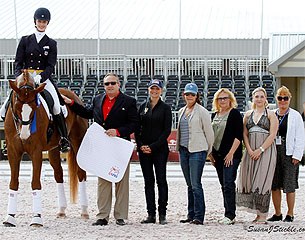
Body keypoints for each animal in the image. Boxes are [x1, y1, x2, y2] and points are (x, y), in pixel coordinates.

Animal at [3, 70, 88, 227]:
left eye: (34, 107)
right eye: (16, 106)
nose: (24, 135)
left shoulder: (36, 151)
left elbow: (35, 183)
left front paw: (36, 218)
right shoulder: (13, 152)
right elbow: (13, 183)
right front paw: (10, 217)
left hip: (78, 141)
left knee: (81, 173)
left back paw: (84, 211)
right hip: (53, 149)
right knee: (58, 174)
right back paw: (61, 210)